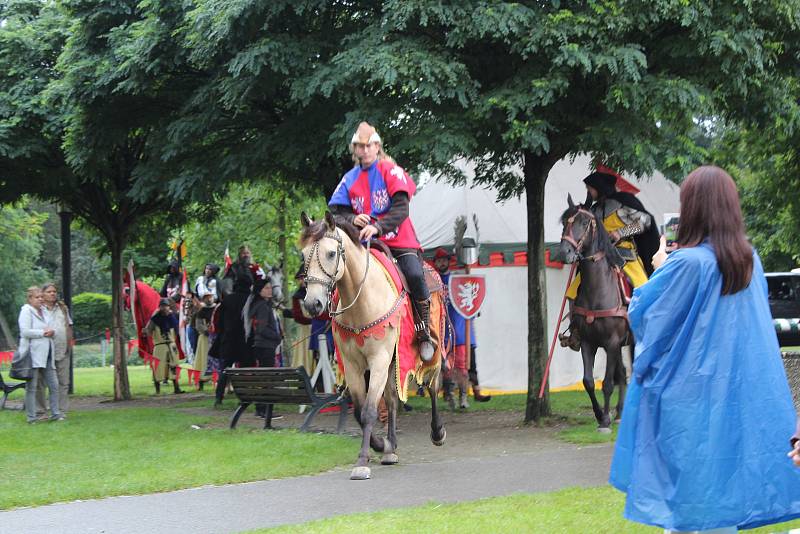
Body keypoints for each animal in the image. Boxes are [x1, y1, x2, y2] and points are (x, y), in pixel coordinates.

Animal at [300, 213, 446, 482]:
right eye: (303, 255)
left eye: (331, 253)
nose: (313, 304)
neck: (363, 299)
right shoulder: (353, 365)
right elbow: (360, 412)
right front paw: (381, 445)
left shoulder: (378, 359)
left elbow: (368, 411)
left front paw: (362, 462)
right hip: (392, 363)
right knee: (391, 400)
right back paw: (391, 448)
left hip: (432, 349)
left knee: (433, 385)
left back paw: (437, 431)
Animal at [560, 197, 636, 436]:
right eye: (564, 222)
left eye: (584, 223)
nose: (564, 252)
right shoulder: (588, 342)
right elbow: (588, 381)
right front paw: (600, 415)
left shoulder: (611, 343)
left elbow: (608, 383)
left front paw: (605, 422)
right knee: (623, 373)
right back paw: (620, 413)